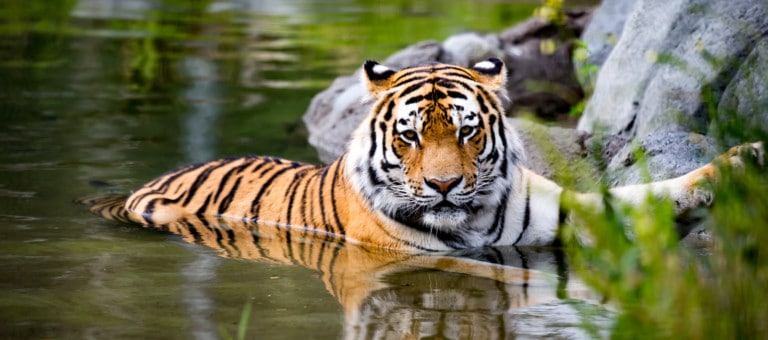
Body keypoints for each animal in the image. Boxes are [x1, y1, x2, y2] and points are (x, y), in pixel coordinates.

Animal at [81, 57, 764, 251]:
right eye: (409, 136)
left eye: (466, 132)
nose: (441, 187)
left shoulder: (568, 212)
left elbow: (646, 195)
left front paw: (745, 160)